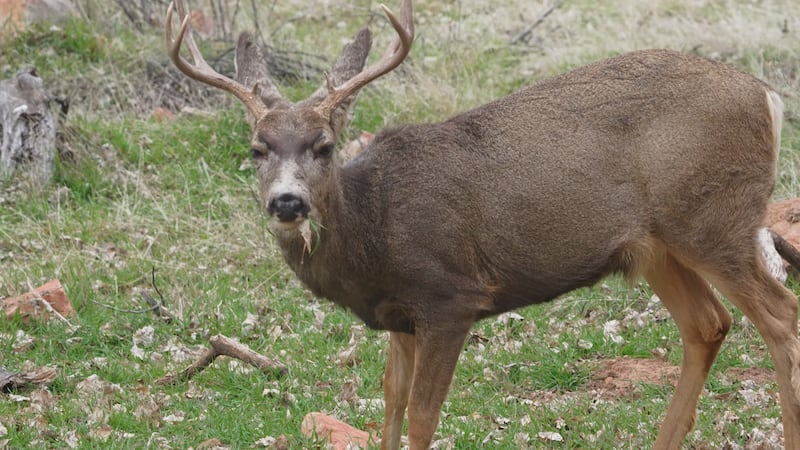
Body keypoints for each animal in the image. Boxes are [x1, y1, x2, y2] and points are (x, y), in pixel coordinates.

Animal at [165, 0, 800, 448]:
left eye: (324, 145)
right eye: (257, 149)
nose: (288, 204)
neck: (375, 228)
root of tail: (767, 97)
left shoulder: (449, 294)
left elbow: (422, 416)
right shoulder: (399, 313)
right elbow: (390, 404)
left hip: (714, 219)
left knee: (780, 318)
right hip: (657, 245)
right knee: (708, 325)